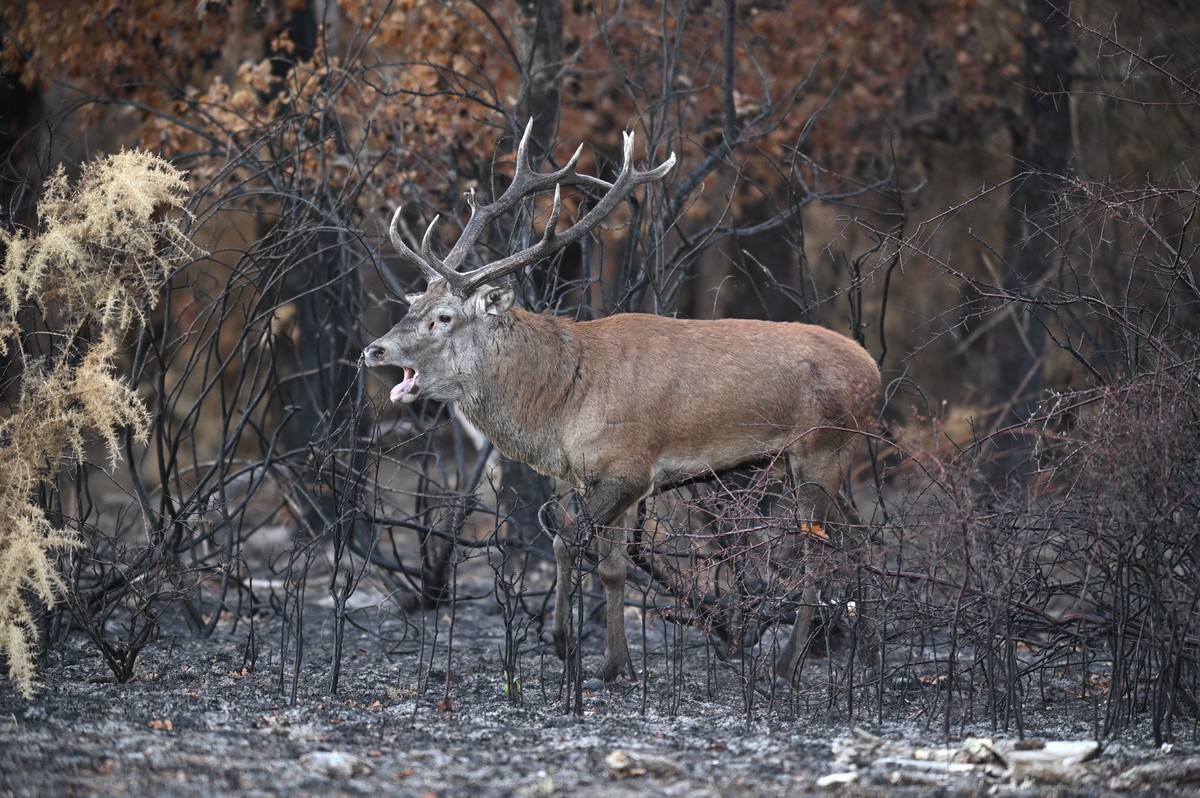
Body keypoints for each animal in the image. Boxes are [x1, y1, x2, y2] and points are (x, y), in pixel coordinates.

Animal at [363, 121, 881, 684]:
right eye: (413, 303)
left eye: (444, 317)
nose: (374, 349)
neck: (562, 403)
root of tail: (874, 371)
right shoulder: (605, 477)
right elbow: (612, 568)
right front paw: (617, 666)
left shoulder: (627, 465)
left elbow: (566, 540)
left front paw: (565, 645)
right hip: (817, 458)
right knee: (860, 539)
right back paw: (862, 650)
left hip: (822, 449)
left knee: (817, 552)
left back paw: (787, 665)